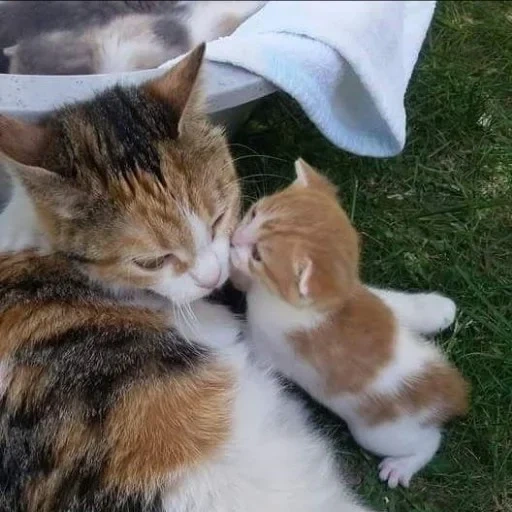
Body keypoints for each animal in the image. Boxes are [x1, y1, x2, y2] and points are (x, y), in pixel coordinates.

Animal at [230, 158, 470, 490]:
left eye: (258, 255)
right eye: (253, 213)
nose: (233, 239)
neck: (326, 305)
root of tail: (450, 392)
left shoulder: (269, 346)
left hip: (379, 433)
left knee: (429, 442)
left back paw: (402, 466)